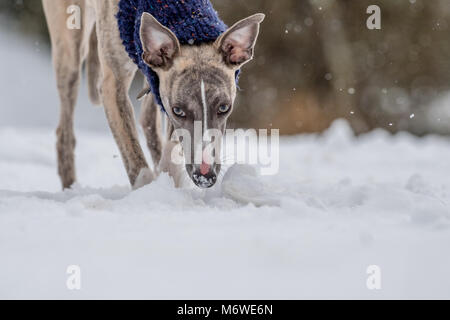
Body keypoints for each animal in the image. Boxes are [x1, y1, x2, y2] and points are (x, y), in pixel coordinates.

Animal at [42, 0, 264, 189]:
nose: (205, 177)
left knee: (148, 120)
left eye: (224, 108)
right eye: (178, 110)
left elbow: (171, 144)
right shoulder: (112, 85)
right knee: (64, 132)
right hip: (70, 47)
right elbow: (136, 161)